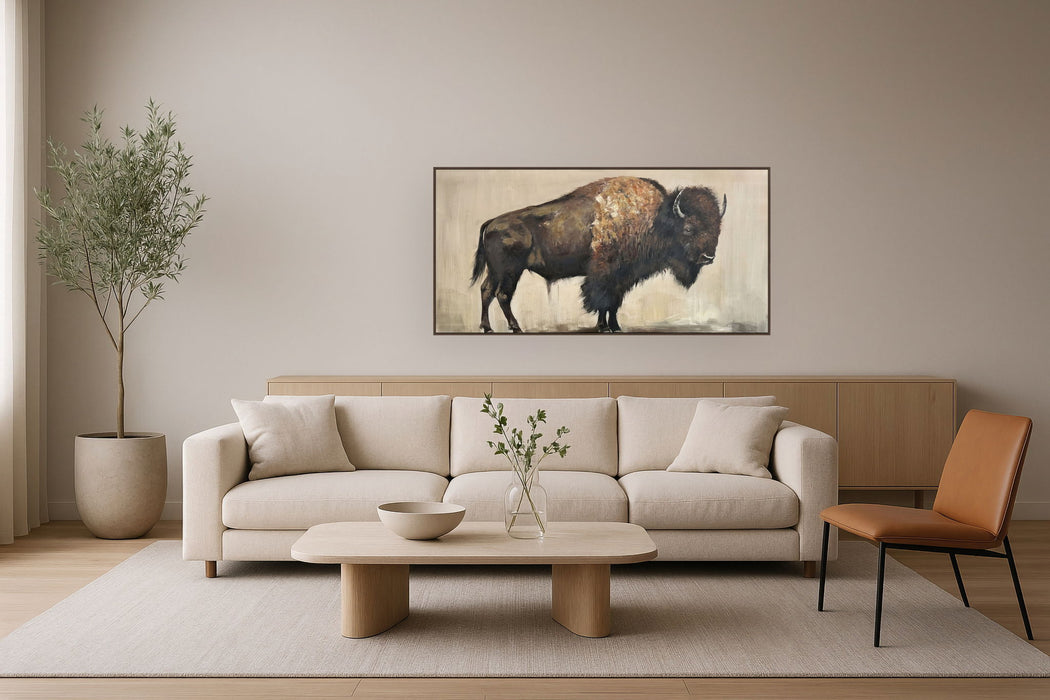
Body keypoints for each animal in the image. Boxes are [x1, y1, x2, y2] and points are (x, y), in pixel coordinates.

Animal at [470, 176, 726, 332]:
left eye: (717, 228)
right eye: (689, 228)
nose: (708, 257)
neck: (653, 220)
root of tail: (492, 222)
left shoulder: (622, 277)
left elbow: (614, 303)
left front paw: (615, 326)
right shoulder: (605, 274)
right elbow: (602, 300)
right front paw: (604, 326)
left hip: (496, 271)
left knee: (486, 291)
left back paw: (487, 327)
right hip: (510, 271)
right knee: (503, 295)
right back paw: (515, 327)